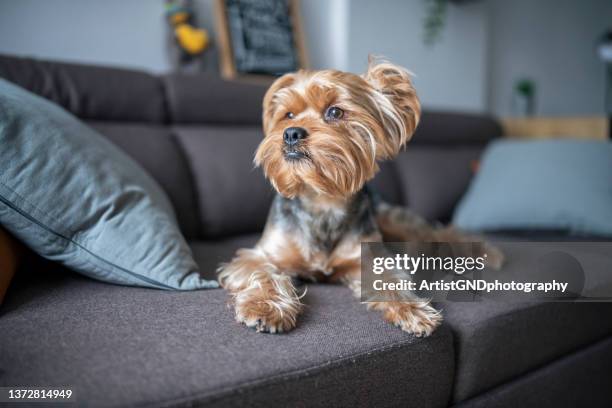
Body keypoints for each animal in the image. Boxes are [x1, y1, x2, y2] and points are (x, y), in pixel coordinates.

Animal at [218, 58, 500, 338]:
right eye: (288, 115)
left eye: (335, 112)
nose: (291, 133)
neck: (322, 201)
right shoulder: (262, 254)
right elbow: (262, 272)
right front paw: (265, 307)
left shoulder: (368, 257)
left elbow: (390, 279)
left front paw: (412, 310)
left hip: (393, 221)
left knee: (438, 233)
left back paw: (486, 254)